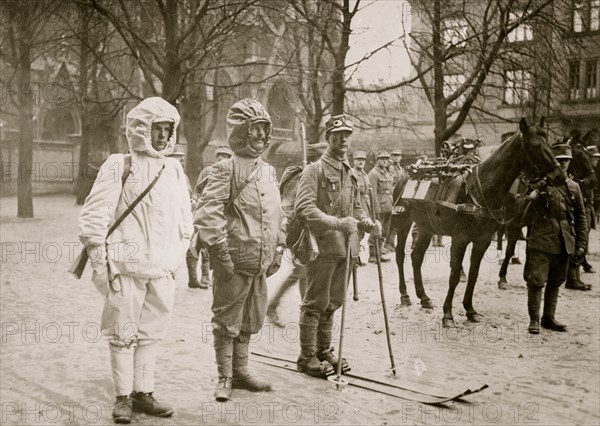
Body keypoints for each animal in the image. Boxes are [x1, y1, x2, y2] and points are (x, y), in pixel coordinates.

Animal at [390, 118, 564, 328]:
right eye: (535, 146)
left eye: (550, 145)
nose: (560, 176)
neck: (479, 189)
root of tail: (406, 173)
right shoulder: (460, 239)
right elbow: (454, 275)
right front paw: (447, 314)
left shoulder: (482, 240)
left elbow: (474, 274)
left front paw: (470, 310)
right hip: (403, 221)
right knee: (400, 255)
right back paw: (405, 295)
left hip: (426, 226)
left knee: (416, 257)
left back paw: (424, 298)